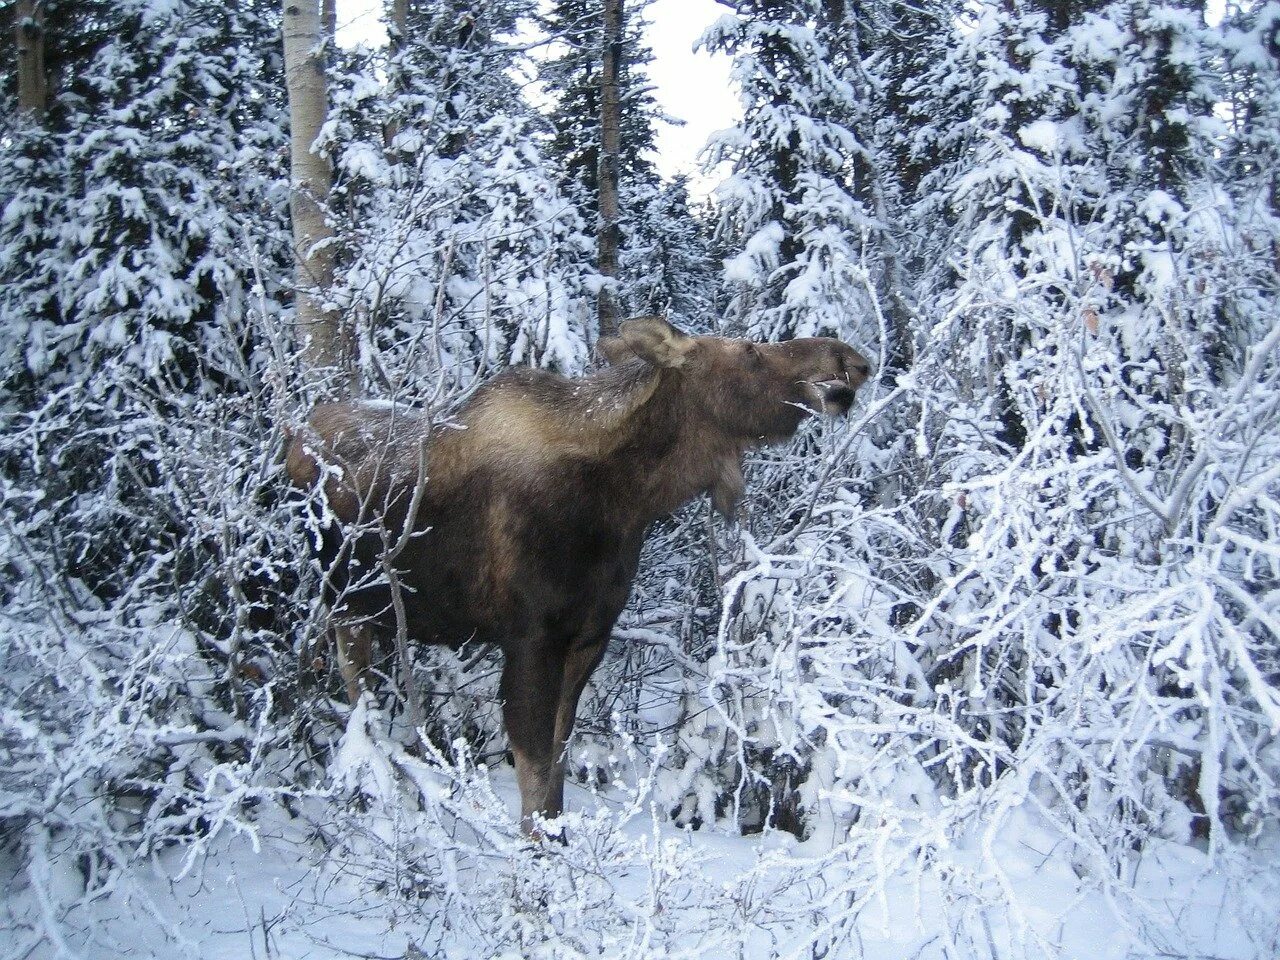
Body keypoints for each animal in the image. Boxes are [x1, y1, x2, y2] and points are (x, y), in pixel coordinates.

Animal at [286, 317, 870, 834]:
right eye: (749, 351)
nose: (852, 359)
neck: (628, 501)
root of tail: (295, 434)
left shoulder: (590, 636)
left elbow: (559, 763)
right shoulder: (531, 638)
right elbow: (533, 767)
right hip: (343, 605)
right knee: (356, 693)